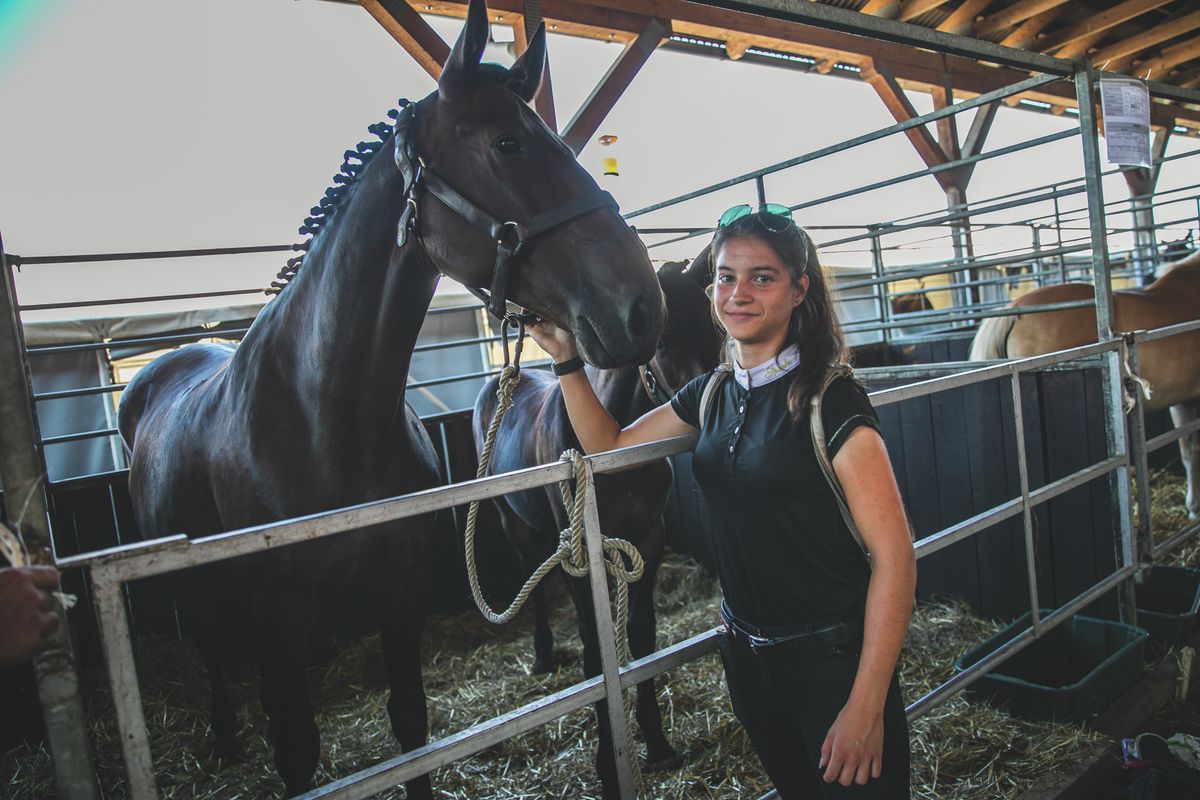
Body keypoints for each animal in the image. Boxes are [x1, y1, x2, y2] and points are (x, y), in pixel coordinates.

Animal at [119, 1, 667, 796]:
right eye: (508, 142)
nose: (641, 308)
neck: (323, 423)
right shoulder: (278, 625)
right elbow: (298, 752)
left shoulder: (400, 599)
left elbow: (411, 730)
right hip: (203, 591)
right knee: (217, 657)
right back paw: (223, 737)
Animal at [470, 255, 715, 796]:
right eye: (661, 341)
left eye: (714, 325)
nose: (710, 400)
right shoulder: (582, 550)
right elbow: (595, 648)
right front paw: (608, 762)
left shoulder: (648, 540)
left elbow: (642, 636)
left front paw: (657, 744)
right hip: (516, 525)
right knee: (537, 587)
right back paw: (542, 654)